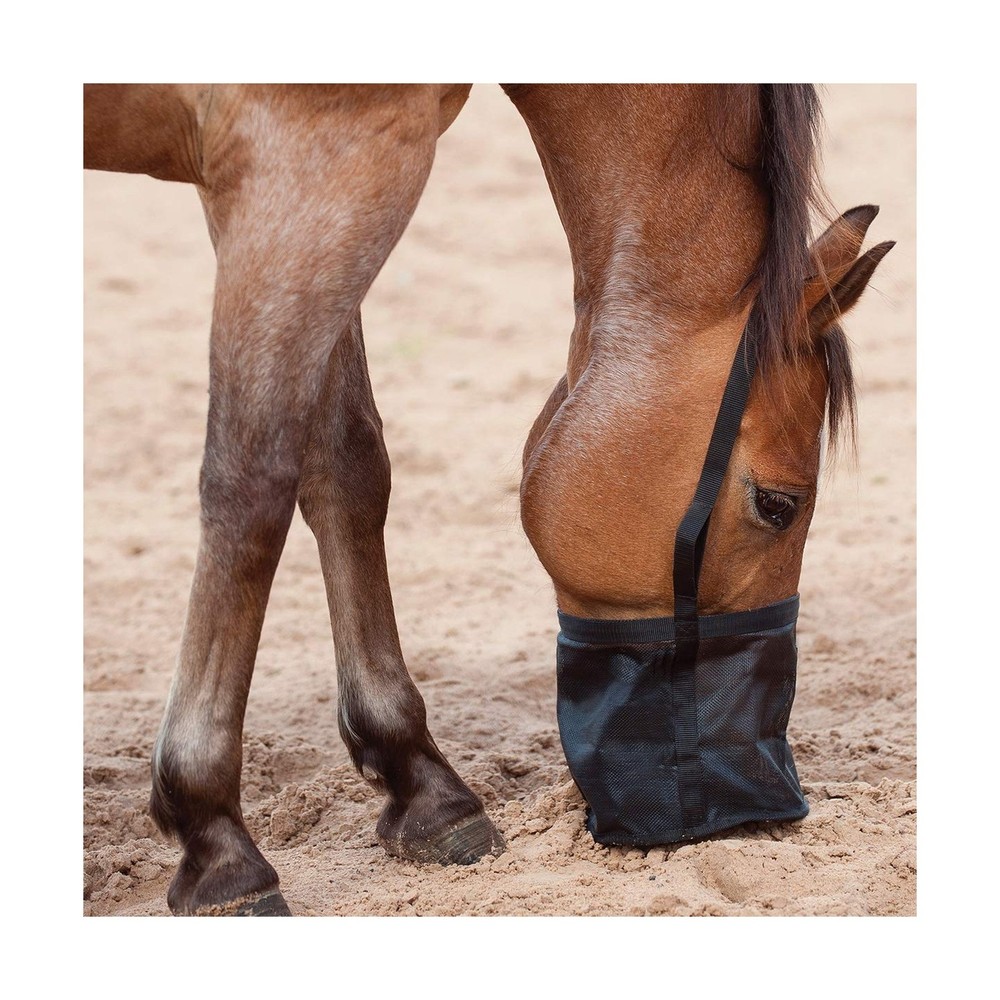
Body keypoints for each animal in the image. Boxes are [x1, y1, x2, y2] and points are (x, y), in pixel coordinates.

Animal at [83, 83, 892, 915]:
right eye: (777, 506)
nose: (761, 804)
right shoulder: (311, 160)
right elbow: (252, 489)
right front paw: (214, 834)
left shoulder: (317, 178)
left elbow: (346, 461)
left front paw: (421, 782)